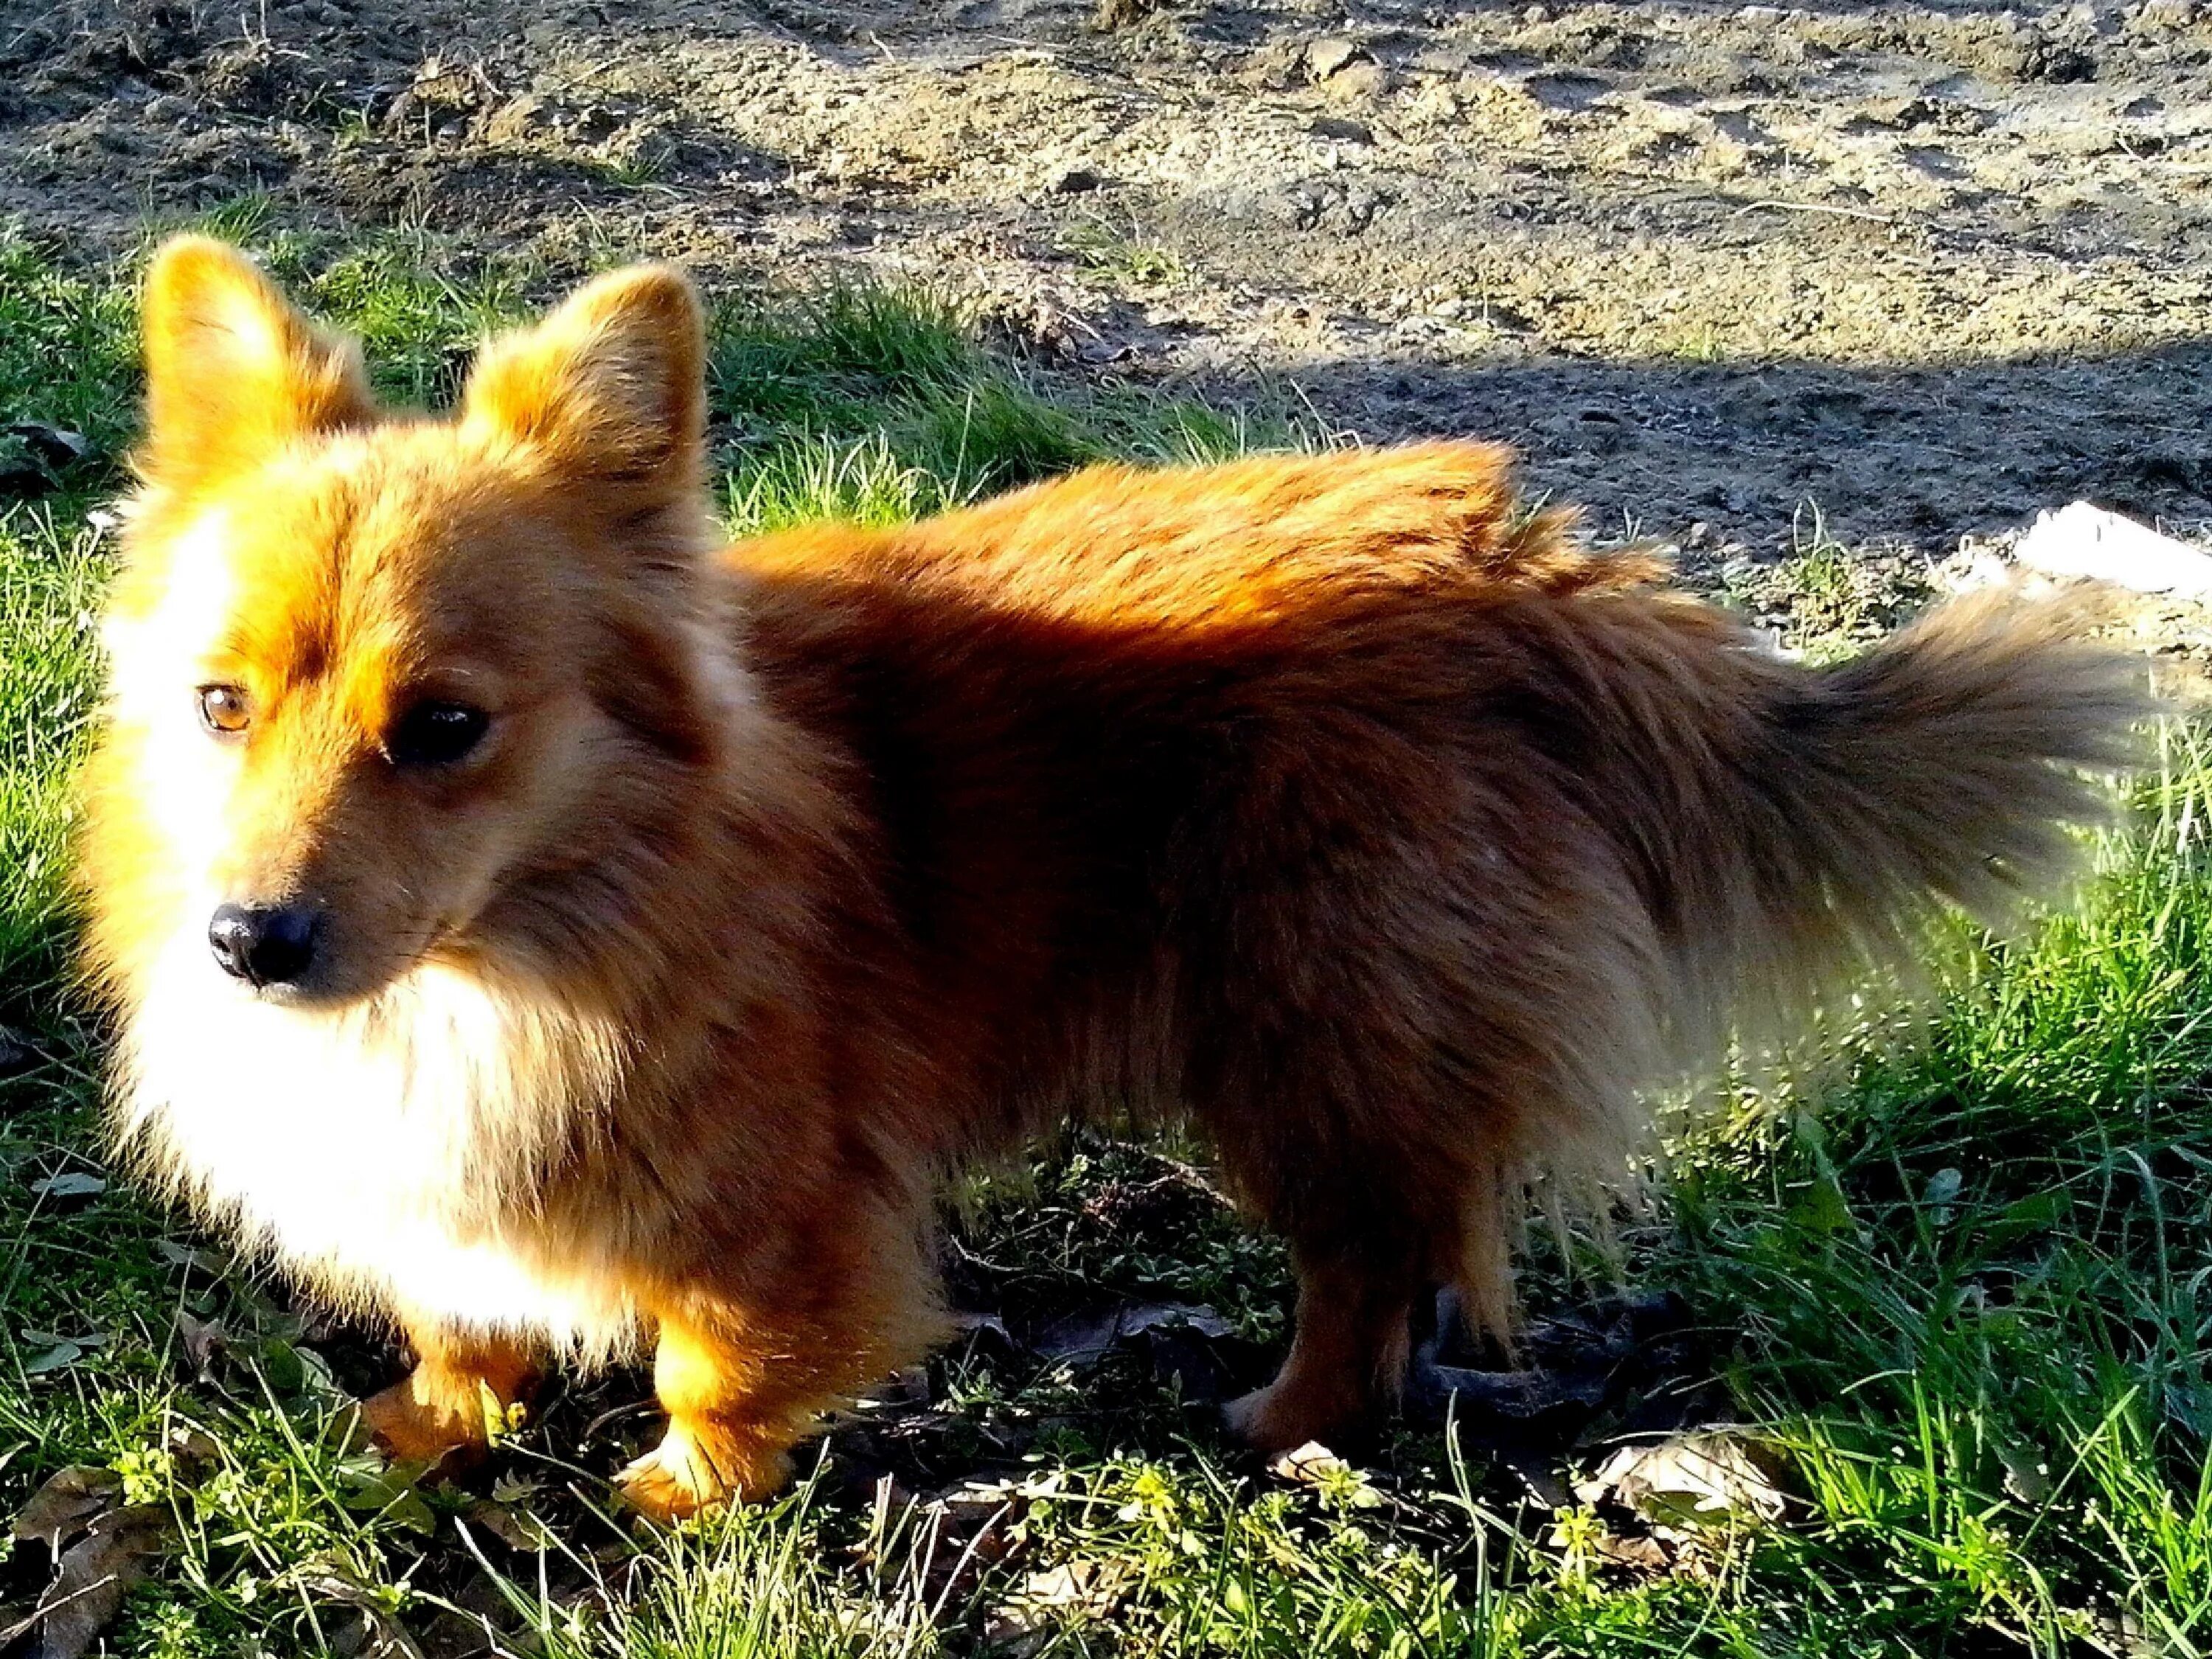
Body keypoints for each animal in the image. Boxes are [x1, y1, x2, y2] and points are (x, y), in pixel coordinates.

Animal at [82, 240, 2141, 1531]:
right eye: (218, 705)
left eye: (443, 727)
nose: (251, 944)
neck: (510, 956)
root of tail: (1539, 573)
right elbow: (463, 1303)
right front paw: (437, 1420)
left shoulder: (775, 1199)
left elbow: (726, 1355)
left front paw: (681, 1491)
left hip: (1306, 1039)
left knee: (1372, 1262)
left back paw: (1282, 1422)